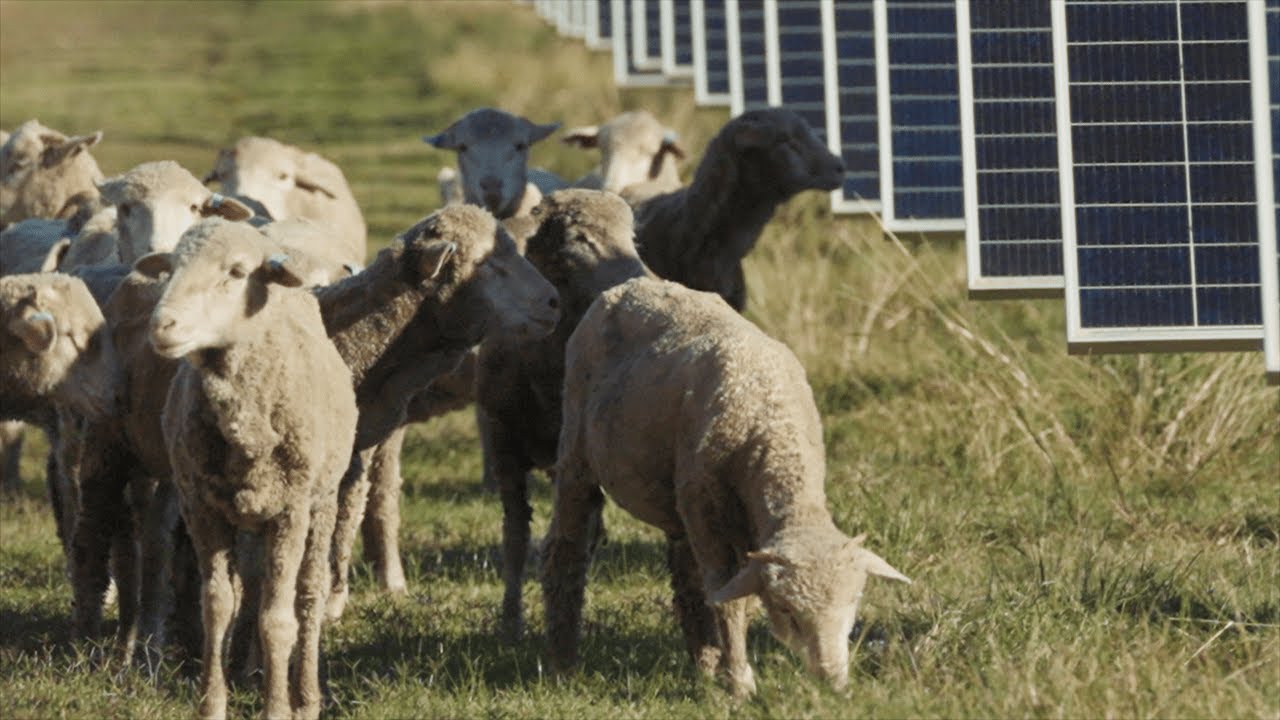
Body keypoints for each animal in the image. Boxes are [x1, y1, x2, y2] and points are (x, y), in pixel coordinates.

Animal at [135, 218, 358, 720]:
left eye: (236, 272)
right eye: (171, 268)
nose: (161, 325)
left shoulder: (291, 511)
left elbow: (278, 619)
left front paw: (277, 708)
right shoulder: (202, 507)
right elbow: (218, 607)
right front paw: (212, 704)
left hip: (321, 501)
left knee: (308, 595)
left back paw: (306, 696)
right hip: (250, 514)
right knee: (253, 591)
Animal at [473, 189, 650, 640]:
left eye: (632, 238)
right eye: (577, 240)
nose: (644, 283)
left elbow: (576, 534)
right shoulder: (502, 446)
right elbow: (515, 537)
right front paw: (510, 622)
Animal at [543, 277, 910, 697]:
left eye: (854, 601)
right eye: (788, 611)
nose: (833, 684)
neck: (771, 423)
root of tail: (632, 285)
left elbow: (734, 594)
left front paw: (728, 668)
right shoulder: (709, 513)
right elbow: (728, 599)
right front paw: (740, 683)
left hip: (680, 499)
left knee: (686, 575)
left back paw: (704, 660)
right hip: (578, 452)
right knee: (565, 548)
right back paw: (563, 662)